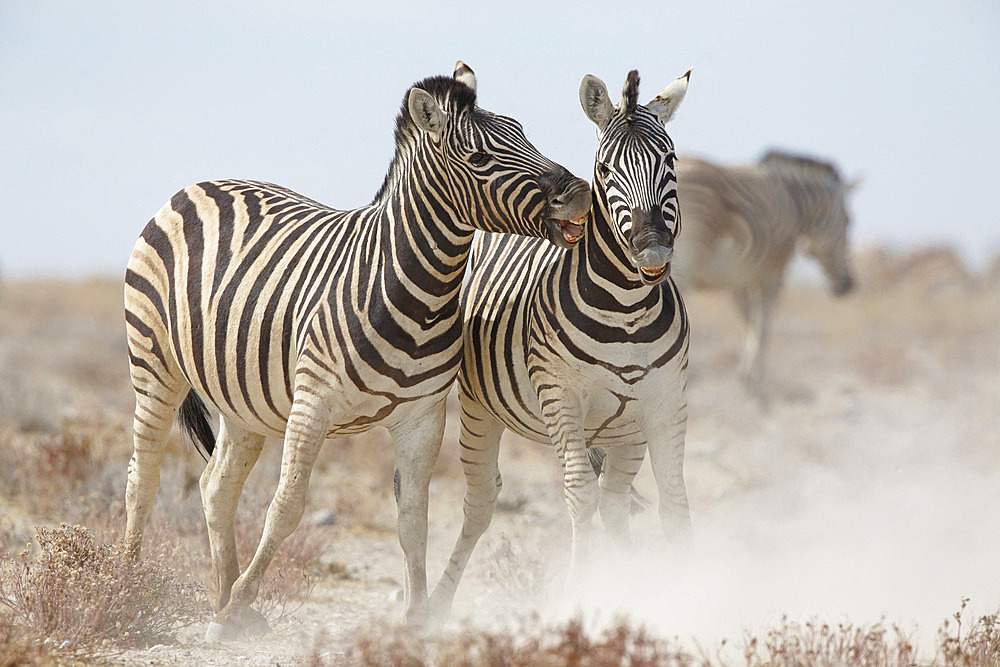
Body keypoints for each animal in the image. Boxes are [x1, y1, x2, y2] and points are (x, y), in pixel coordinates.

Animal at [125, 62, 592, 640]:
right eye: (480, 157)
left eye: (524, 134)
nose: (582, 192)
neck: (421, 291)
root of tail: (199, 184)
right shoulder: (313, 404)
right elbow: (286, 508)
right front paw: (239, 601)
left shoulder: (423, 417)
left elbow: (414, 519)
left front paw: (415, 615)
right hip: (153, 363)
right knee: (142, 478)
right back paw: (131, 588)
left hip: (243, 400)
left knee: (217, 487)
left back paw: (224, 600)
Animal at [430, 69, 696, 620]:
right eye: (605, 168)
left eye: (672, 160)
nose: (651, 249)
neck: (627, 311)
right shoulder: (561, 396)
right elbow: (579, 496)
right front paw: (576, 594)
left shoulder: (667, 402)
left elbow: (674, 501)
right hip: (478, 410)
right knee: (480, 504)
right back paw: (435, 607)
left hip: (626, 432)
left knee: (616, 501)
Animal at [664, 149, 860, 394]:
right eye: (848, 222)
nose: (849, 285)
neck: (793, 202)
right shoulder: (773, 275)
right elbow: (763, 327)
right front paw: (758, 384)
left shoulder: (738, 279)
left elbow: (747, 323)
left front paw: (745, 377)